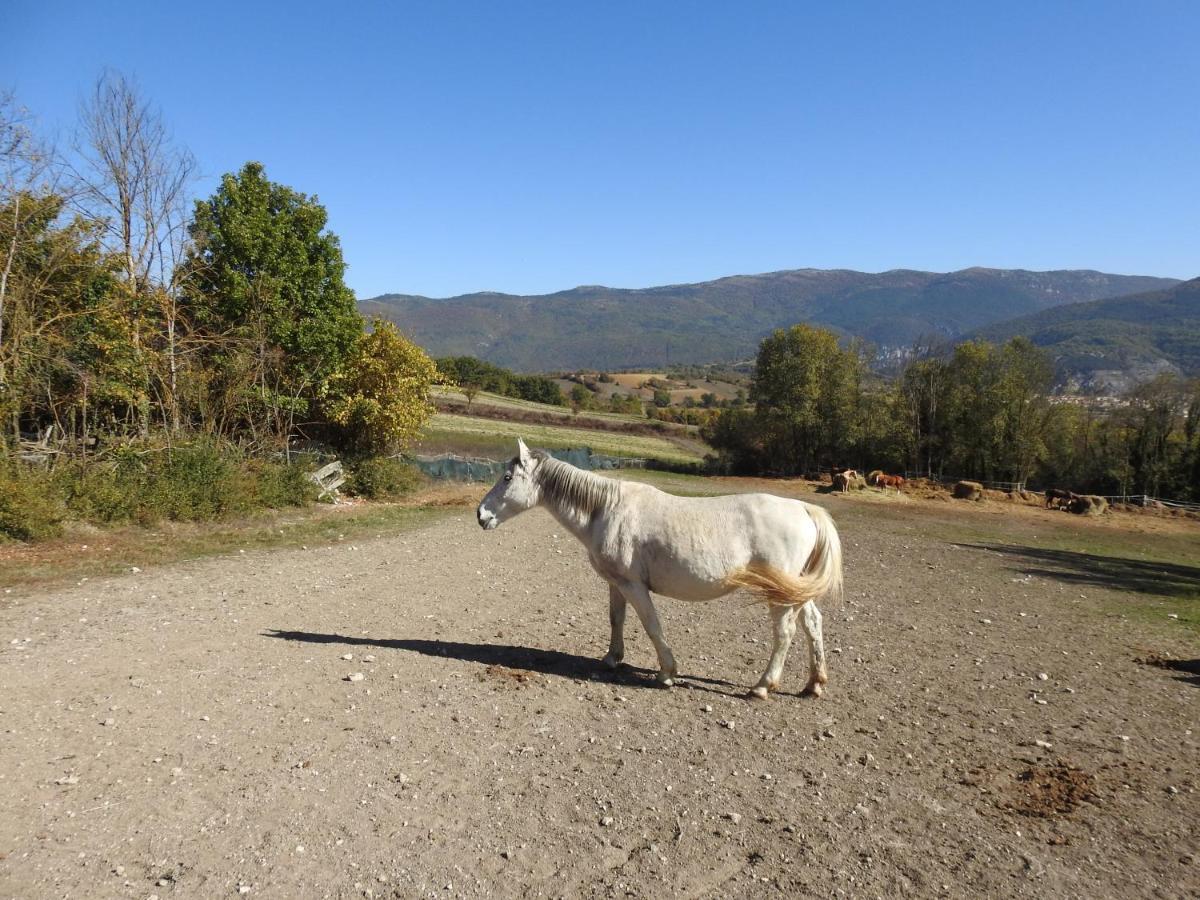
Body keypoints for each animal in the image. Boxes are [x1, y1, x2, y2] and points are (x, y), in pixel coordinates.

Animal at [477, 441, 844, 700]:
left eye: (507, 478)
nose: (481, 515)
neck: (605, 509)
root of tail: (804, 509)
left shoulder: (634, 585)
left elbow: (652, 625)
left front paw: (666, 673)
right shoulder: (616, 583)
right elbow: (616, 619)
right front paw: (612, 658)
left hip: (779, 595)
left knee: (785, 633)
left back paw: (762, 687)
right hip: (795, 589)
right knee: (813, 624)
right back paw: (814, 684)